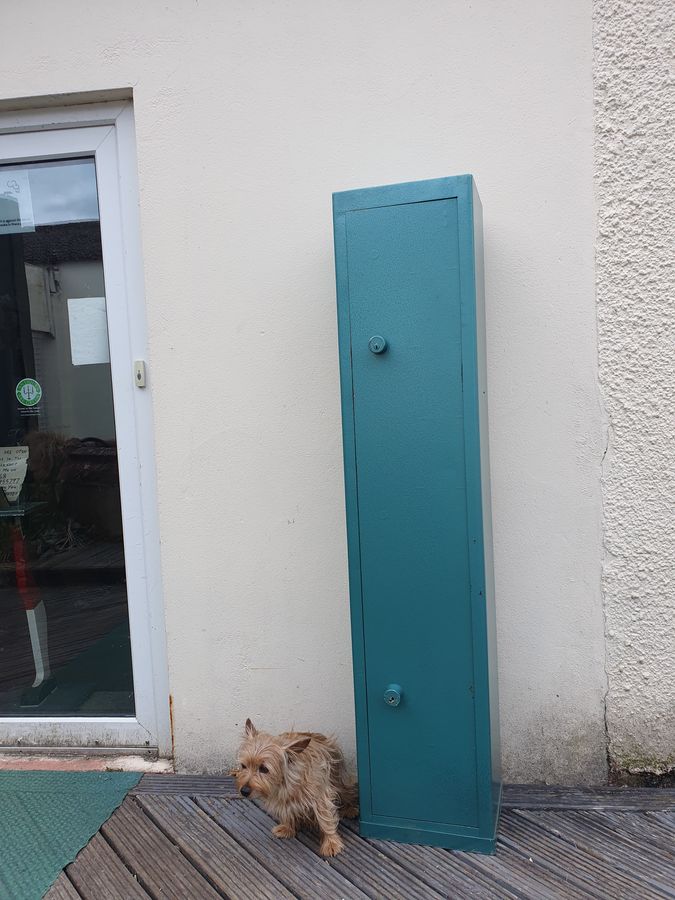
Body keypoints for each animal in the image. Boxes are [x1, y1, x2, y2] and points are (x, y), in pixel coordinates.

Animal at [232, 716, 360, 856]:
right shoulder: (282, 798)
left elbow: (325, 819)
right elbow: (286, 811)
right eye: (243, 766)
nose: (244, 791)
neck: (284, 782)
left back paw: (350, 809)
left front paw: (331, 843)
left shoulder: (320, 796)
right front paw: (287, 827)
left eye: (264, 769)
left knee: (349, 793)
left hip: (340, 780)